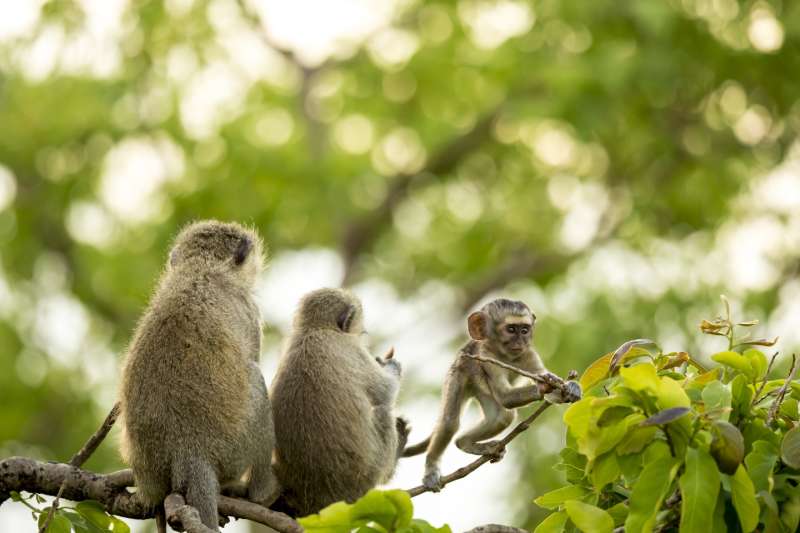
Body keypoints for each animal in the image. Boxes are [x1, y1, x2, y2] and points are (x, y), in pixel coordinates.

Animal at [118, 220, 279, 531]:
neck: (201, 268)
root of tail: (188, 450)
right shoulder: (249, 311)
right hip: (234, 449)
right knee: (255, 378)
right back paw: (263, 493)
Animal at [270, 288, 409, 516]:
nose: (363, 334)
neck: (313, 329)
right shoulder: (351, 348)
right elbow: (386, 391)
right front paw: (390, 366)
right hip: (367, 475)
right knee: (382, 411)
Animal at [403, 298, 581, 492]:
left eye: (524, 330)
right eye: (511, 329)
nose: (520, 341)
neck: (507, 357)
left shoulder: (529, 354)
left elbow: (548, 394)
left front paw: (570, 387)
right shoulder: (487, 356)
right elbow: (505, 397)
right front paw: (543, 385)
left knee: (502, 417)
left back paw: (464, 443)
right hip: (459, 374)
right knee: (450, 423)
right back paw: (433, 470)